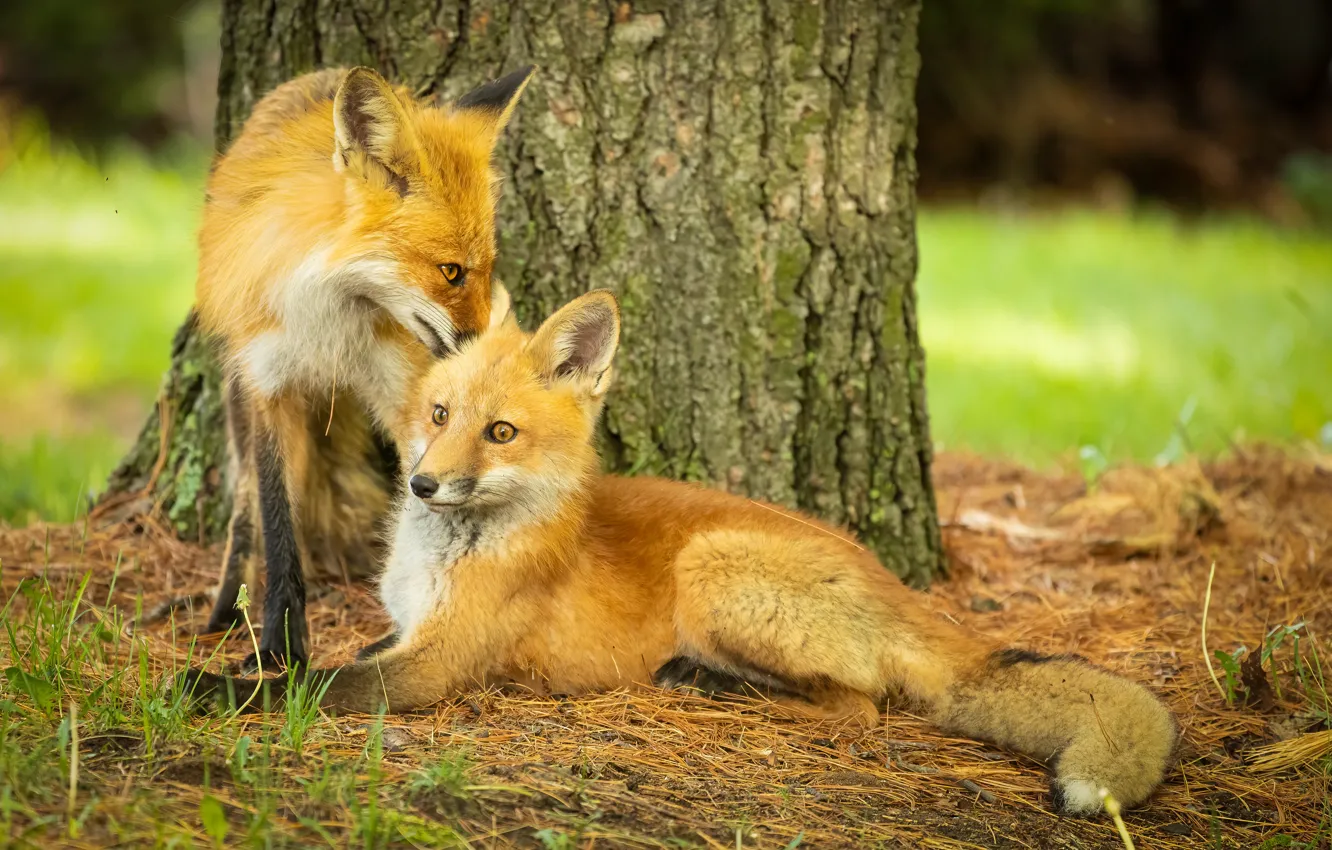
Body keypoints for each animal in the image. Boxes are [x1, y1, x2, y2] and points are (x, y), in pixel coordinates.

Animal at [181, 290, 1179, 815]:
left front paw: (215, 691)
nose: (424, 485)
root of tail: (895, 585)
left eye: (500, 433)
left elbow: (321, 687)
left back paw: (705, 681)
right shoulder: (407, 627)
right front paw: (250, 661)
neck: (443, 553)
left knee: (854, 708)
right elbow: (324, 659)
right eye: (438, 414)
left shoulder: (441, 664)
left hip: (714, 570)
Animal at [193, 63, 535, 668]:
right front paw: (280, 644)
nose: (485, 355)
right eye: (450, 272)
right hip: (239, 393)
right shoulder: (269, 386)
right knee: (244, 512)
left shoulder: (404, 391)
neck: (335, 314)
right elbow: (277, 523)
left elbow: (420, 501)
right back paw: (226, 612)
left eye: (488, 268)